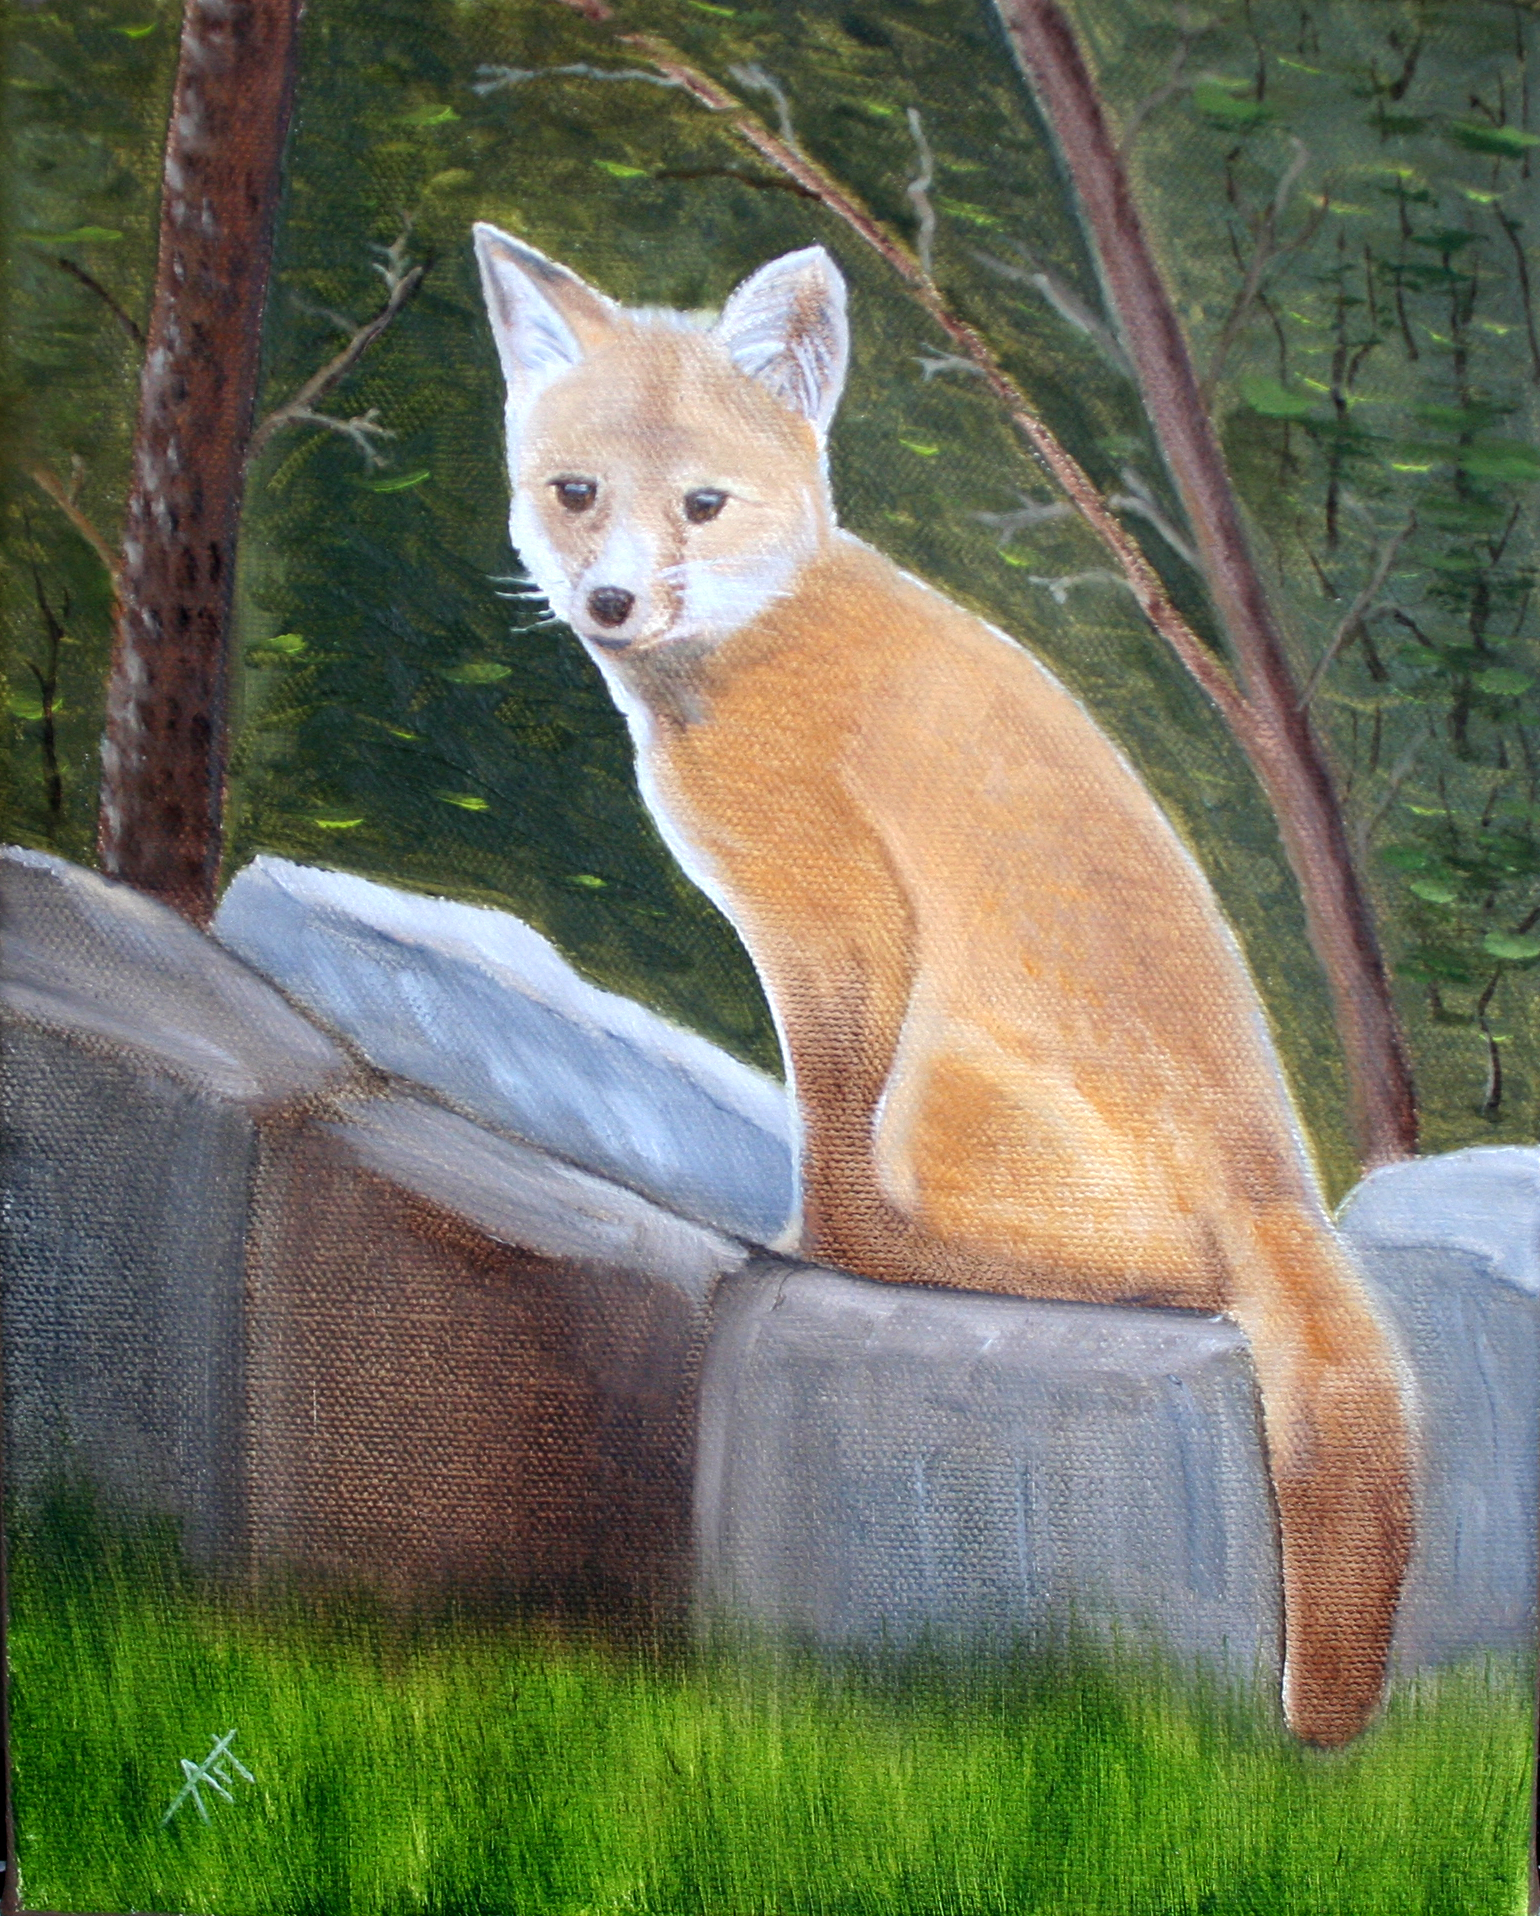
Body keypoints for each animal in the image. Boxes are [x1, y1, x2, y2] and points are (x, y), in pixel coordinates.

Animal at [472, 221, 1414, 1747]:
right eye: (576, 493)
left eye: (703, 506)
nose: (607, 599)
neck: (765, 643)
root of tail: (1283, 1187)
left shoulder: (842, 936)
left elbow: (826, 1139)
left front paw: (816, 1246)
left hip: (944, 1092)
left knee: (1173, 1280)